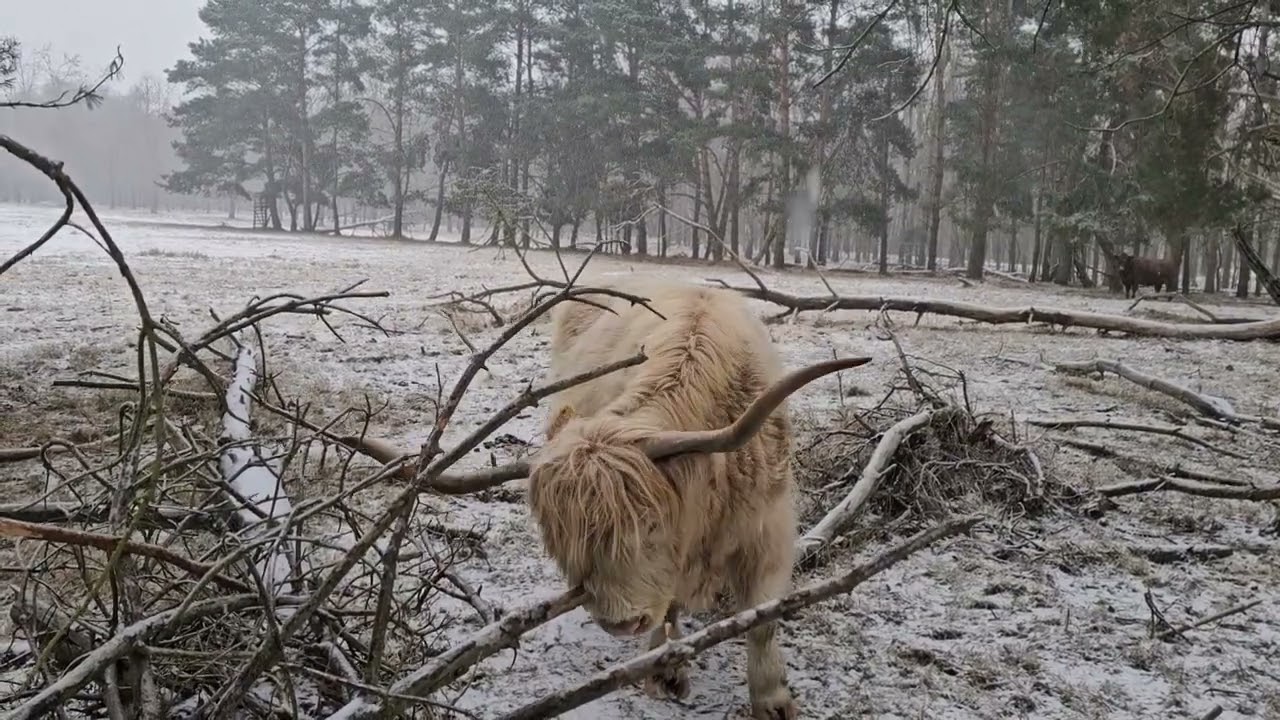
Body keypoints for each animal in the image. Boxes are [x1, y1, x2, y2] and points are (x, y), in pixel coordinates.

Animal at [528, 279, 870, 720]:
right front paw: (665, 671)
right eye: (562, 537)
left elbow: (762, 620)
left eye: (650, 524)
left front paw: (772, 699)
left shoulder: (768, 531)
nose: (620, 623)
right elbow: (669, 604)